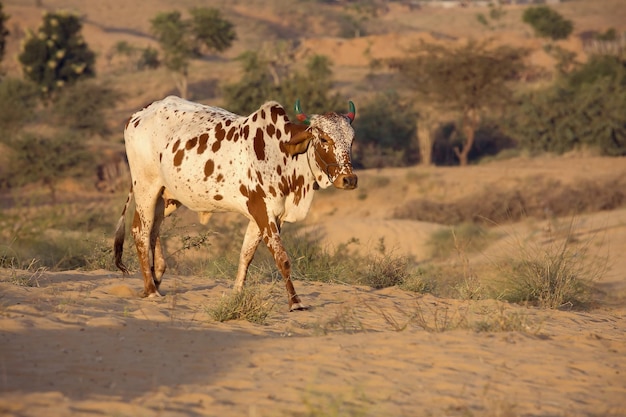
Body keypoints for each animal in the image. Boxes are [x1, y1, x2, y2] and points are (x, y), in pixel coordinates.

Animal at [112, 94, 356, 308]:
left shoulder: (267, 217)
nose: (349, 179)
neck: (282, 153)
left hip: (167, 197)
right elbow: (282, 258)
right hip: (146, 187)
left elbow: (246, 255)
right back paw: (151, 289)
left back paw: (156, 277)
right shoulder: (263, 212)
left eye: (351, 141)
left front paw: (237, 294)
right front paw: (295, 302)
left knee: (153, 228)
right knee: (141, 231)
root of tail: (137, 115)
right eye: (323, 139)